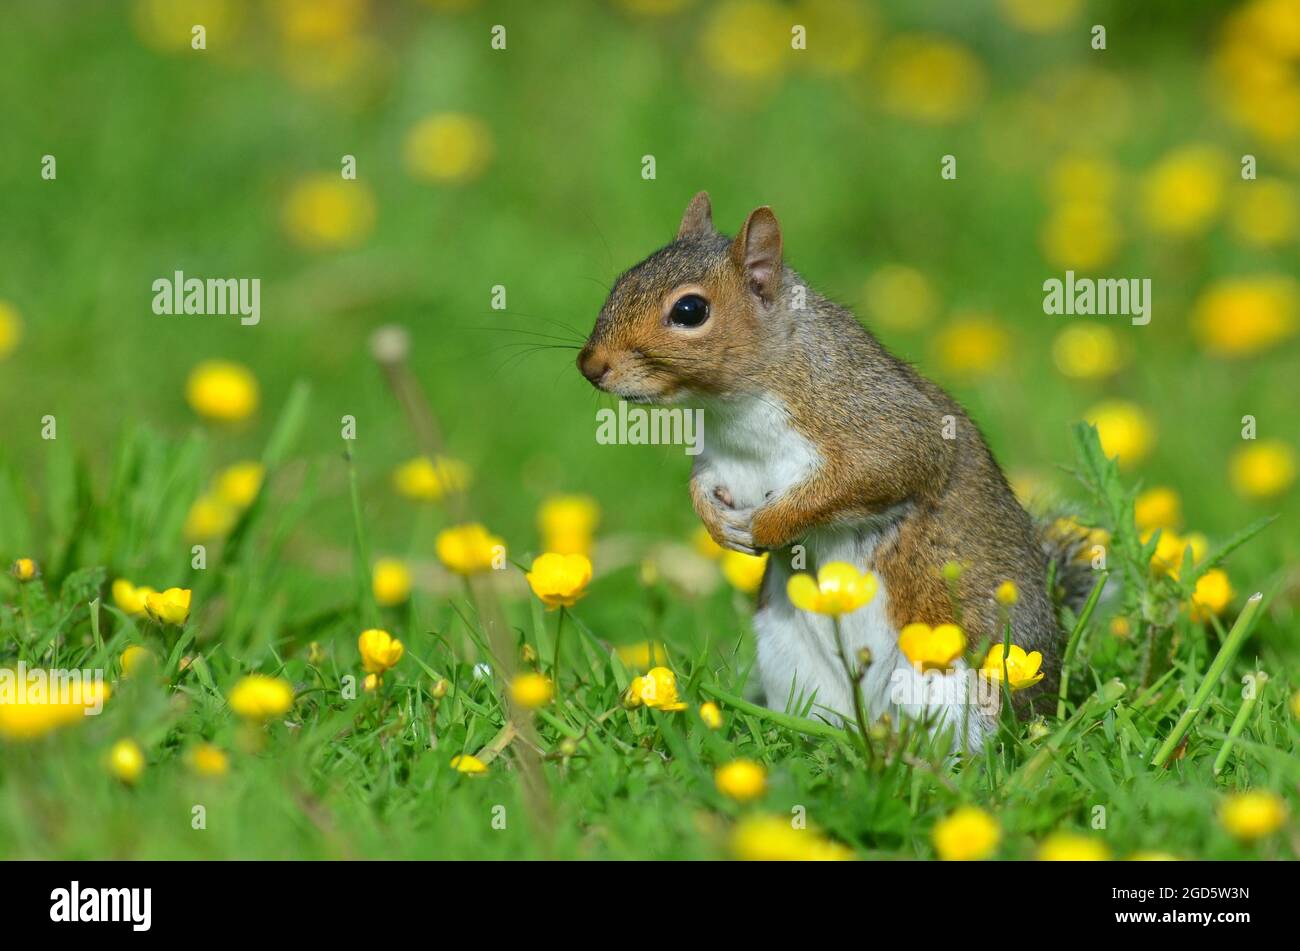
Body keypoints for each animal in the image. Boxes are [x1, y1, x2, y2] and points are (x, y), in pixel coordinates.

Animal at [578, 192, 1093, 750]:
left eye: (690, 310)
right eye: (622, 280)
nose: (590, 365)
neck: (736, 408)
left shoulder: (879, 429)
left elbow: (859, 480)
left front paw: (769, 526)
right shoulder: (722, 460)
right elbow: (702, 488)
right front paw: (717, 526)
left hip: (953, 679)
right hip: (786, 653)